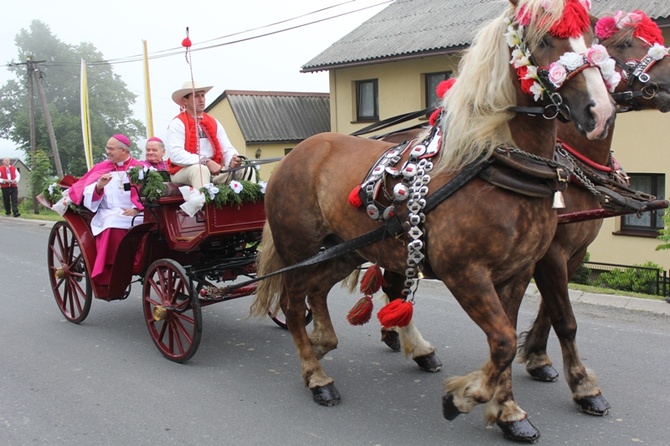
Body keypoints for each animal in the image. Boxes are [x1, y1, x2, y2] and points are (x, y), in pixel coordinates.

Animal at [251, 0, 616, 442]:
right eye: (545, 40)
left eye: (594, 38)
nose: (599, 111)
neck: (495, 165)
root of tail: (296, 154)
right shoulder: (467, 273)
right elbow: (504, 340)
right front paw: (465, 396)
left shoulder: (518, 272)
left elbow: (507, 341)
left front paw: (508, 412)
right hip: (298, 249)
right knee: (292, 305)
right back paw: (316, 375)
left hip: (346, 248)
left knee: (318, 291)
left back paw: (323, 341)